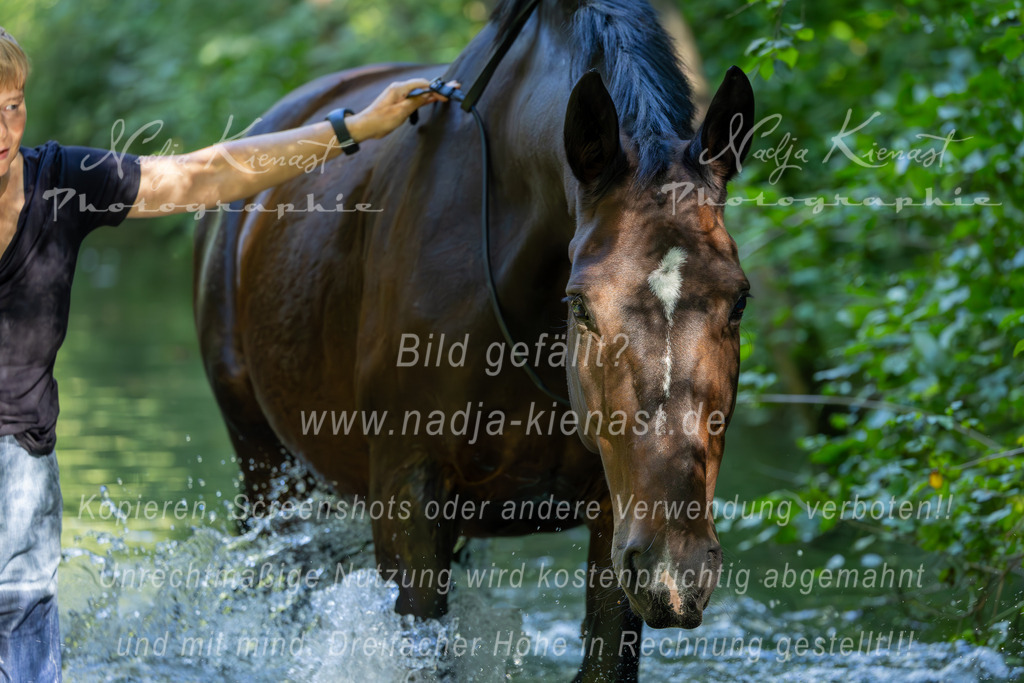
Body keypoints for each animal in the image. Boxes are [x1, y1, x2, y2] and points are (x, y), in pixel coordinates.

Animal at [194, 0, 754, 679]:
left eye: (739, 300)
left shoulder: (612, 515)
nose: (676, 571)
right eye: (580, 304)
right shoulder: (408, 493)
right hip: (266, 465)